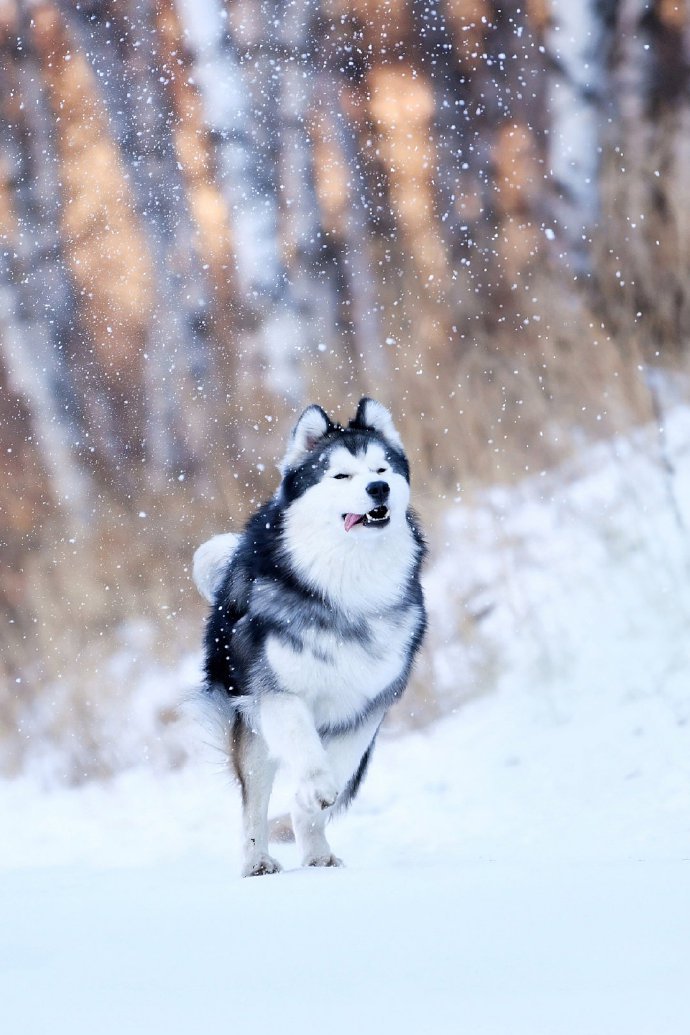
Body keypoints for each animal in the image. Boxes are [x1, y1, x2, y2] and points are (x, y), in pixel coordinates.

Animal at [191, 395, 424, 873]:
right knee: (254, 802)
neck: (350, 583)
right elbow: (303, 746)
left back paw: (318, 854)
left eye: (382, 469)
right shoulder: (277, 692)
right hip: (250, 726)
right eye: (341, 475)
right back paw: (258, 861)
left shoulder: (365, 707)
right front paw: (315, 786)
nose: (379, 490)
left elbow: (336, 767)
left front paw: (310, 804)